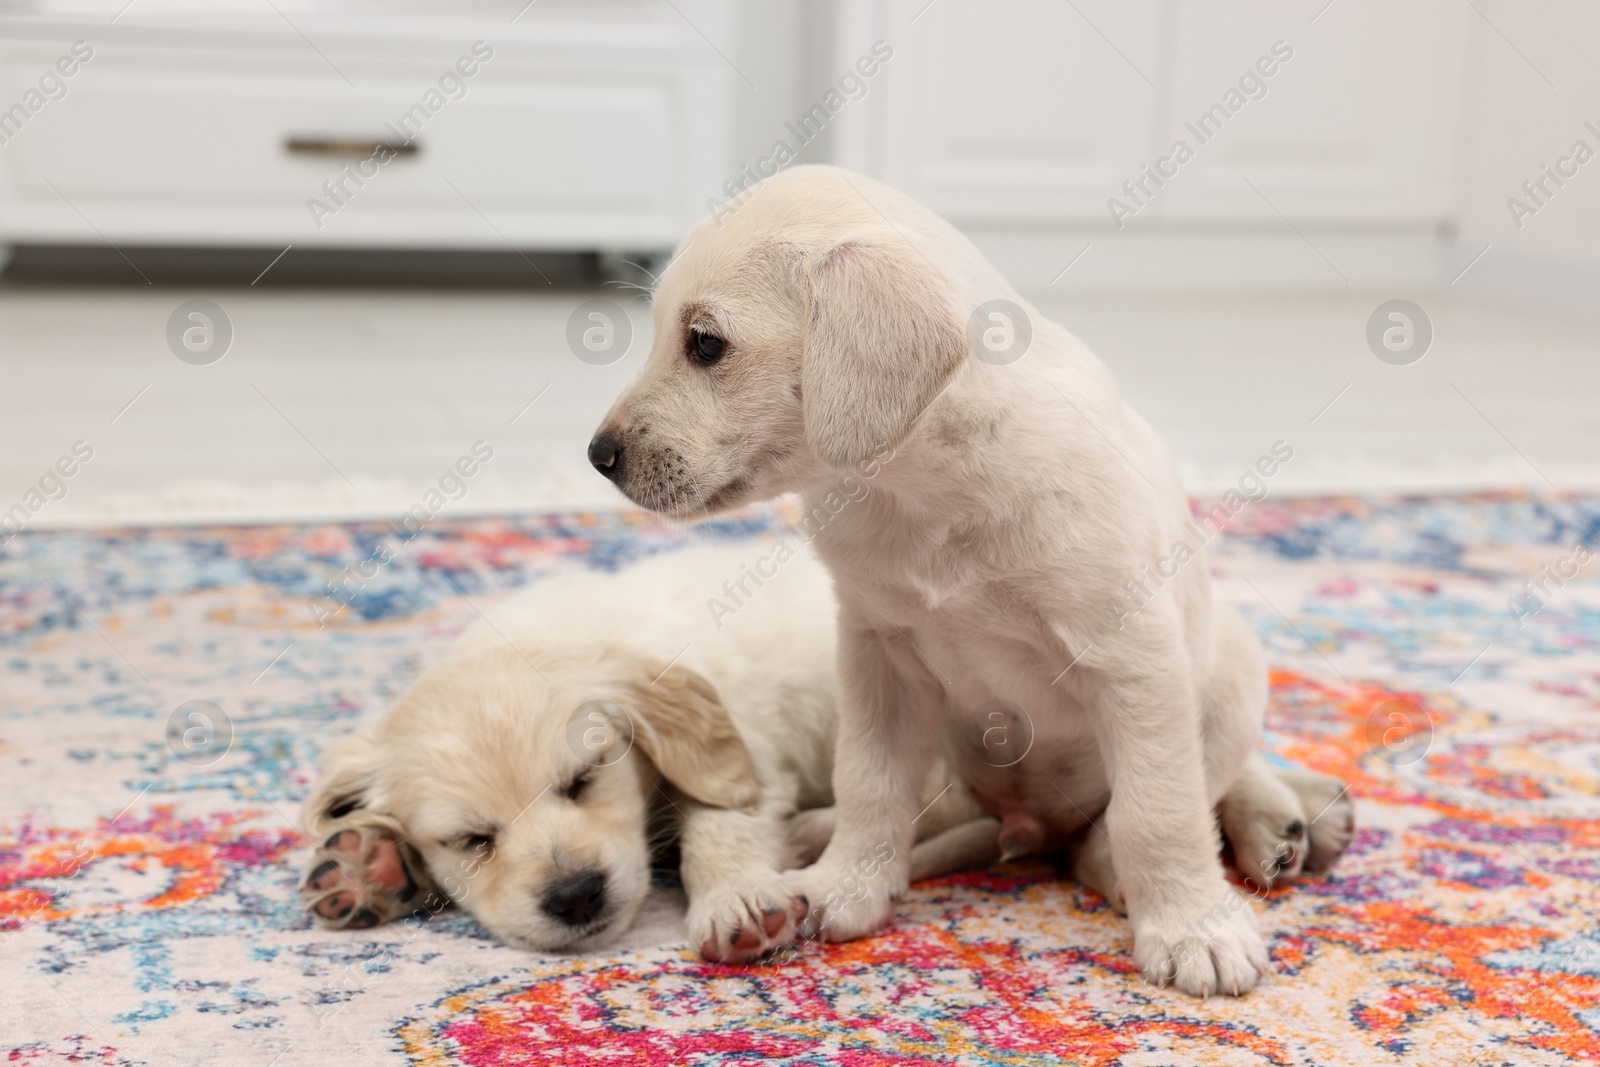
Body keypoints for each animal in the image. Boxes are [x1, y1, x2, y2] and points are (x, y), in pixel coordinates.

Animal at [300, 543, 992, 959]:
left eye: (584, 778)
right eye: (472, 840)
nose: (576, 896)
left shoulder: (747, 756)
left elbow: (718, 822)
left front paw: (736, 898)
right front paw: (371, 864)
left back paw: (811, 836)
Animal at [588, 163, 1350, 998]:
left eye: (705, 343)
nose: (599, 455)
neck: (924, 490)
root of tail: (1030, 829)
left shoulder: (1135, 661)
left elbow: (1158, 812)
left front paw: (1190, 926)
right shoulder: (877, 654)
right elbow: (871, 783)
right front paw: (849, 883)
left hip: (1232, 663)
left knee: (1152, 809)